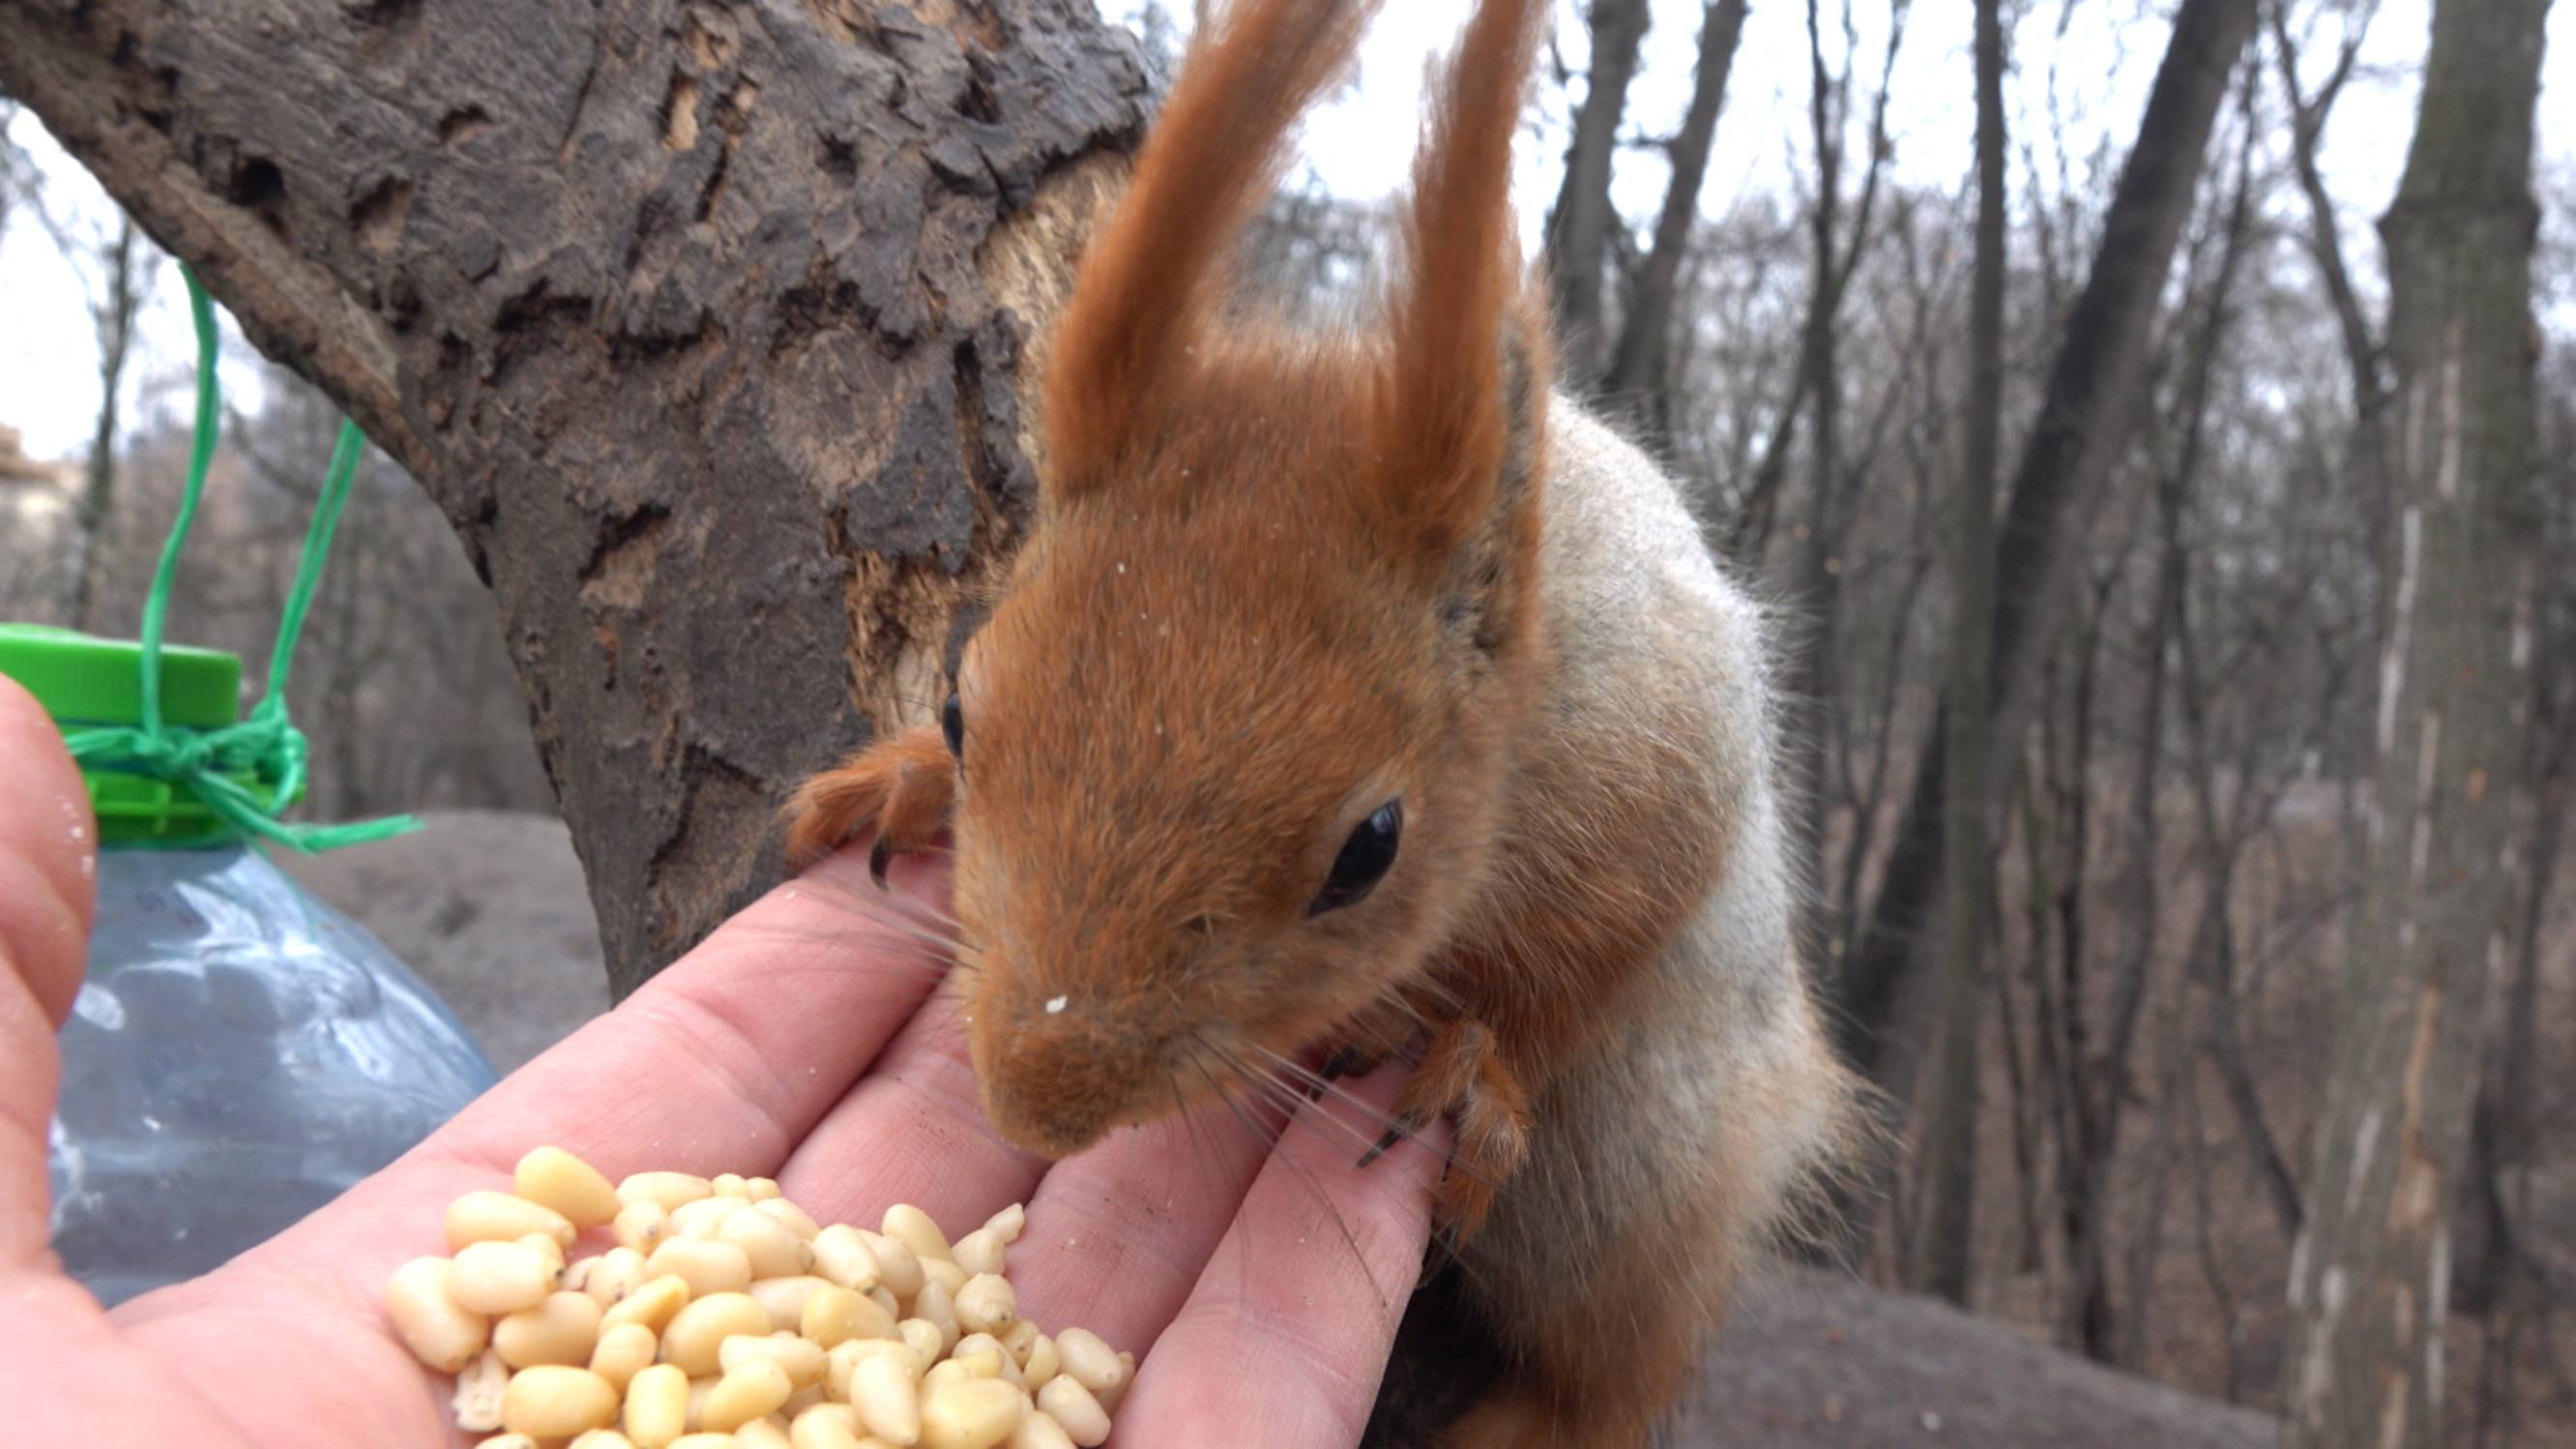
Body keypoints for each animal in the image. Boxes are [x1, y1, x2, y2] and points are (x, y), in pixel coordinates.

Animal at [773, 0, 1864, 1434]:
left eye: (1370, 849)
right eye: (959, 708)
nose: (1037, 1097)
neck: (1528, 688)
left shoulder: (1657, 774)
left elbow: (1572, 970)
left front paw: (1472, 1060)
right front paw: (896, 780)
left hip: (1651, 1175)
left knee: (1603, 1374)